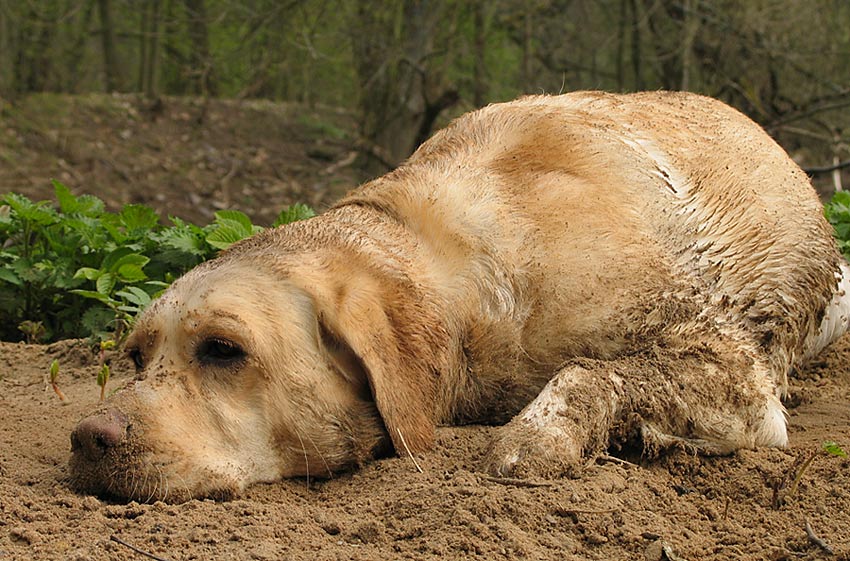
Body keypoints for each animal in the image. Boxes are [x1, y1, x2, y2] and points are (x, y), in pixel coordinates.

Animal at [68, 89, 848, 500]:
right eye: (136, 357)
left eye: (223, 350)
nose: (88, 436)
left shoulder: (735, 376)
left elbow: (590, 372)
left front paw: (533, 441)